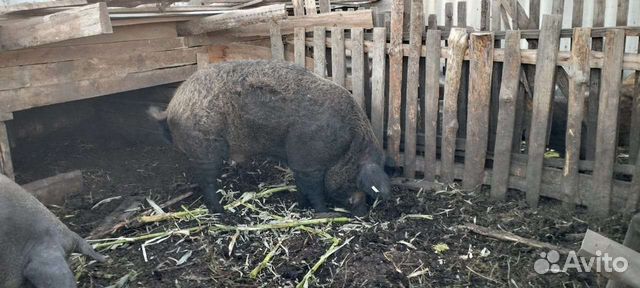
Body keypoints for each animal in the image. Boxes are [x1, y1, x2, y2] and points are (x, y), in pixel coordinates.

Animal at [151, 60, 392, 214]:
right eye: (355, 177)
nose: (363, 214)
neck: (346, 146)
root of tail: (172, 107)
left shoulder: (299, 163)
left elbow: (302, 187)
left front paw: (302, 206)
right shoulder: (308, 161)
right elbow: (314, 191)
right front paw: (325, 214)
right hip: (206, 149)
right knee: (207, 182)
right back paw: (226, 214)